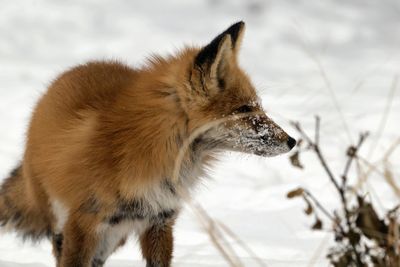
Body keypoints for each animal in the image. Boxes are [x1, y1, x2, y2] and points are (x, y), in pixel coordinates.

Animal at [0, 22, 294, 267]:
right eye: (245, 110)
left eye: (258, 106)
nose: (291, 141)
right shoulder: (84, 222)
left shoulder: (160, 221)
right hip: (70, 228)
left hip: (113, 238)